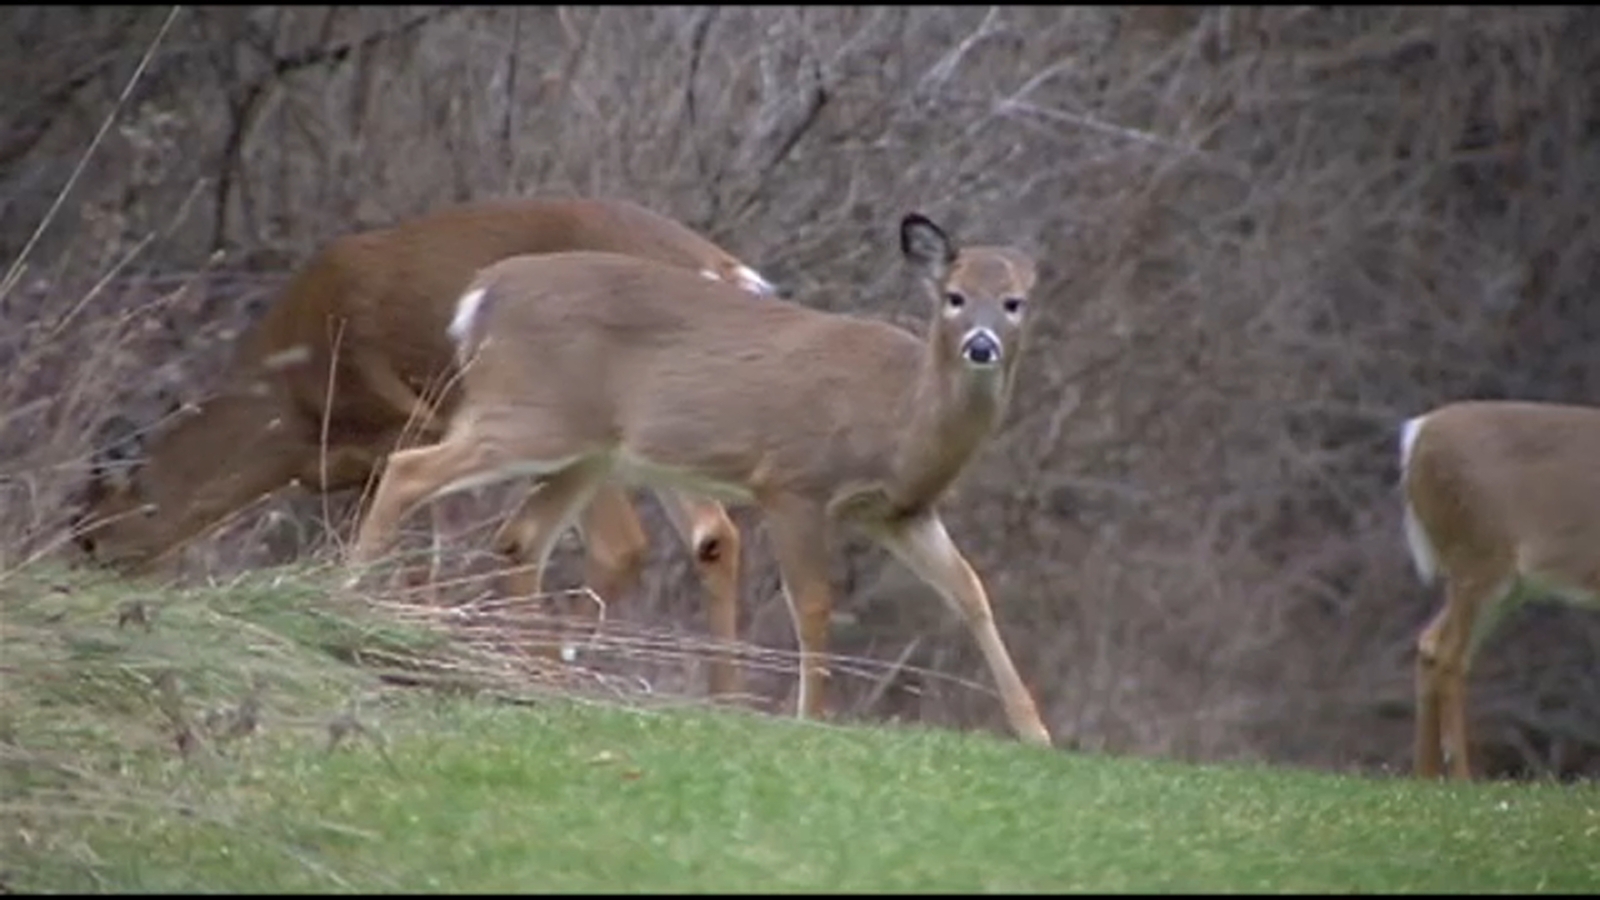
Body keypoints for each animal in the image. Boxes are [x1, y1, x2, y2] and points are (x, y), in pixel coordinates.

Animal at [72, 196, 778, 697]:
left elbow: (420, 562)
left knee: (619, 543)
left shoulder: (407, 422)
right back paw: (725, 696)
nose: (88, 589)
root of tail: (721, 269)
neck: (287, 409)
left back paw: (549, 667)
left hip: (573, 417)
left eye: (90, 536)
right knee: (713, 536)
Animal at [344, 212, 1055, 746]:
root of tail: (479, 298)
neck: (901, 415)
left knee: (522, 536)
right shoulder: (793, 482)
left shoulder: (899, 513)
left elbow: (970, 591)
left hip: (585, 450)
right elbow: (814, 604)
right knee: (408, 469)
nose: (982, 345)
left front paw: (1034, 731)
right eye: (954, 298)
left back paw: (530, 674)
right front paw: (811, 719)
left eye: (1015, 303)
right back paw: (348, 594)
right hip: (532, 416)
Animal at [1399, 399, 1600, 779]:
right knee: (1449, 656)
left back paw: (1425, 776)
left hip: (1504, 583)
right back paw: (1462, 778)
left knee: (1430, 644)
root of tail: (1416, 434)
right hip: (1479, 554)